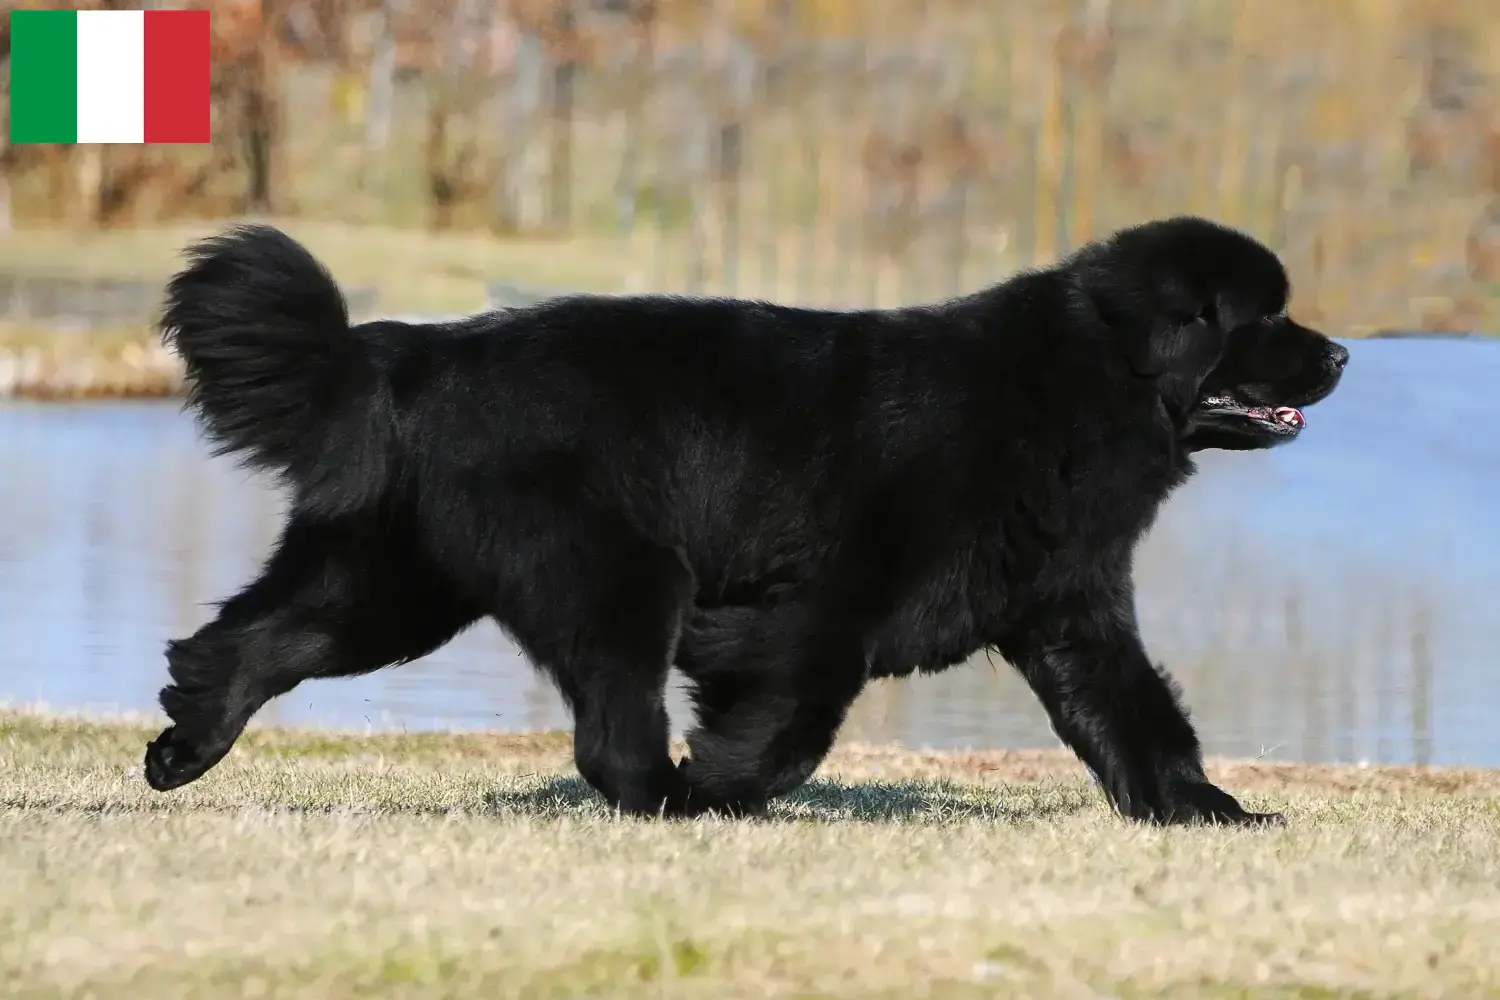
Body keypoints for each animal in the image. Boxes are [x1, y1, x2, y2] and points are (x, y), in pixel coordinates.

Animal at [143, 215, 1350, 827]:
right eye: (1264, 318)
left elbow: (1138, 716)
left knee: (250, 641)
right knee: (610, 724)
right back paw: (668, 797)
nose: (1342, 352)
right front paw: (731, 786)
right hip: (618, 572)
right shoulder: (824, 603)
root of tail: (410, 359)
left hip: (392, 580)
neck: (1079, 387)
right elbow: (791, 718)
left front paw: (1205, 809)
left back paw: (181, 746)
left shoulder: (1072, 611)